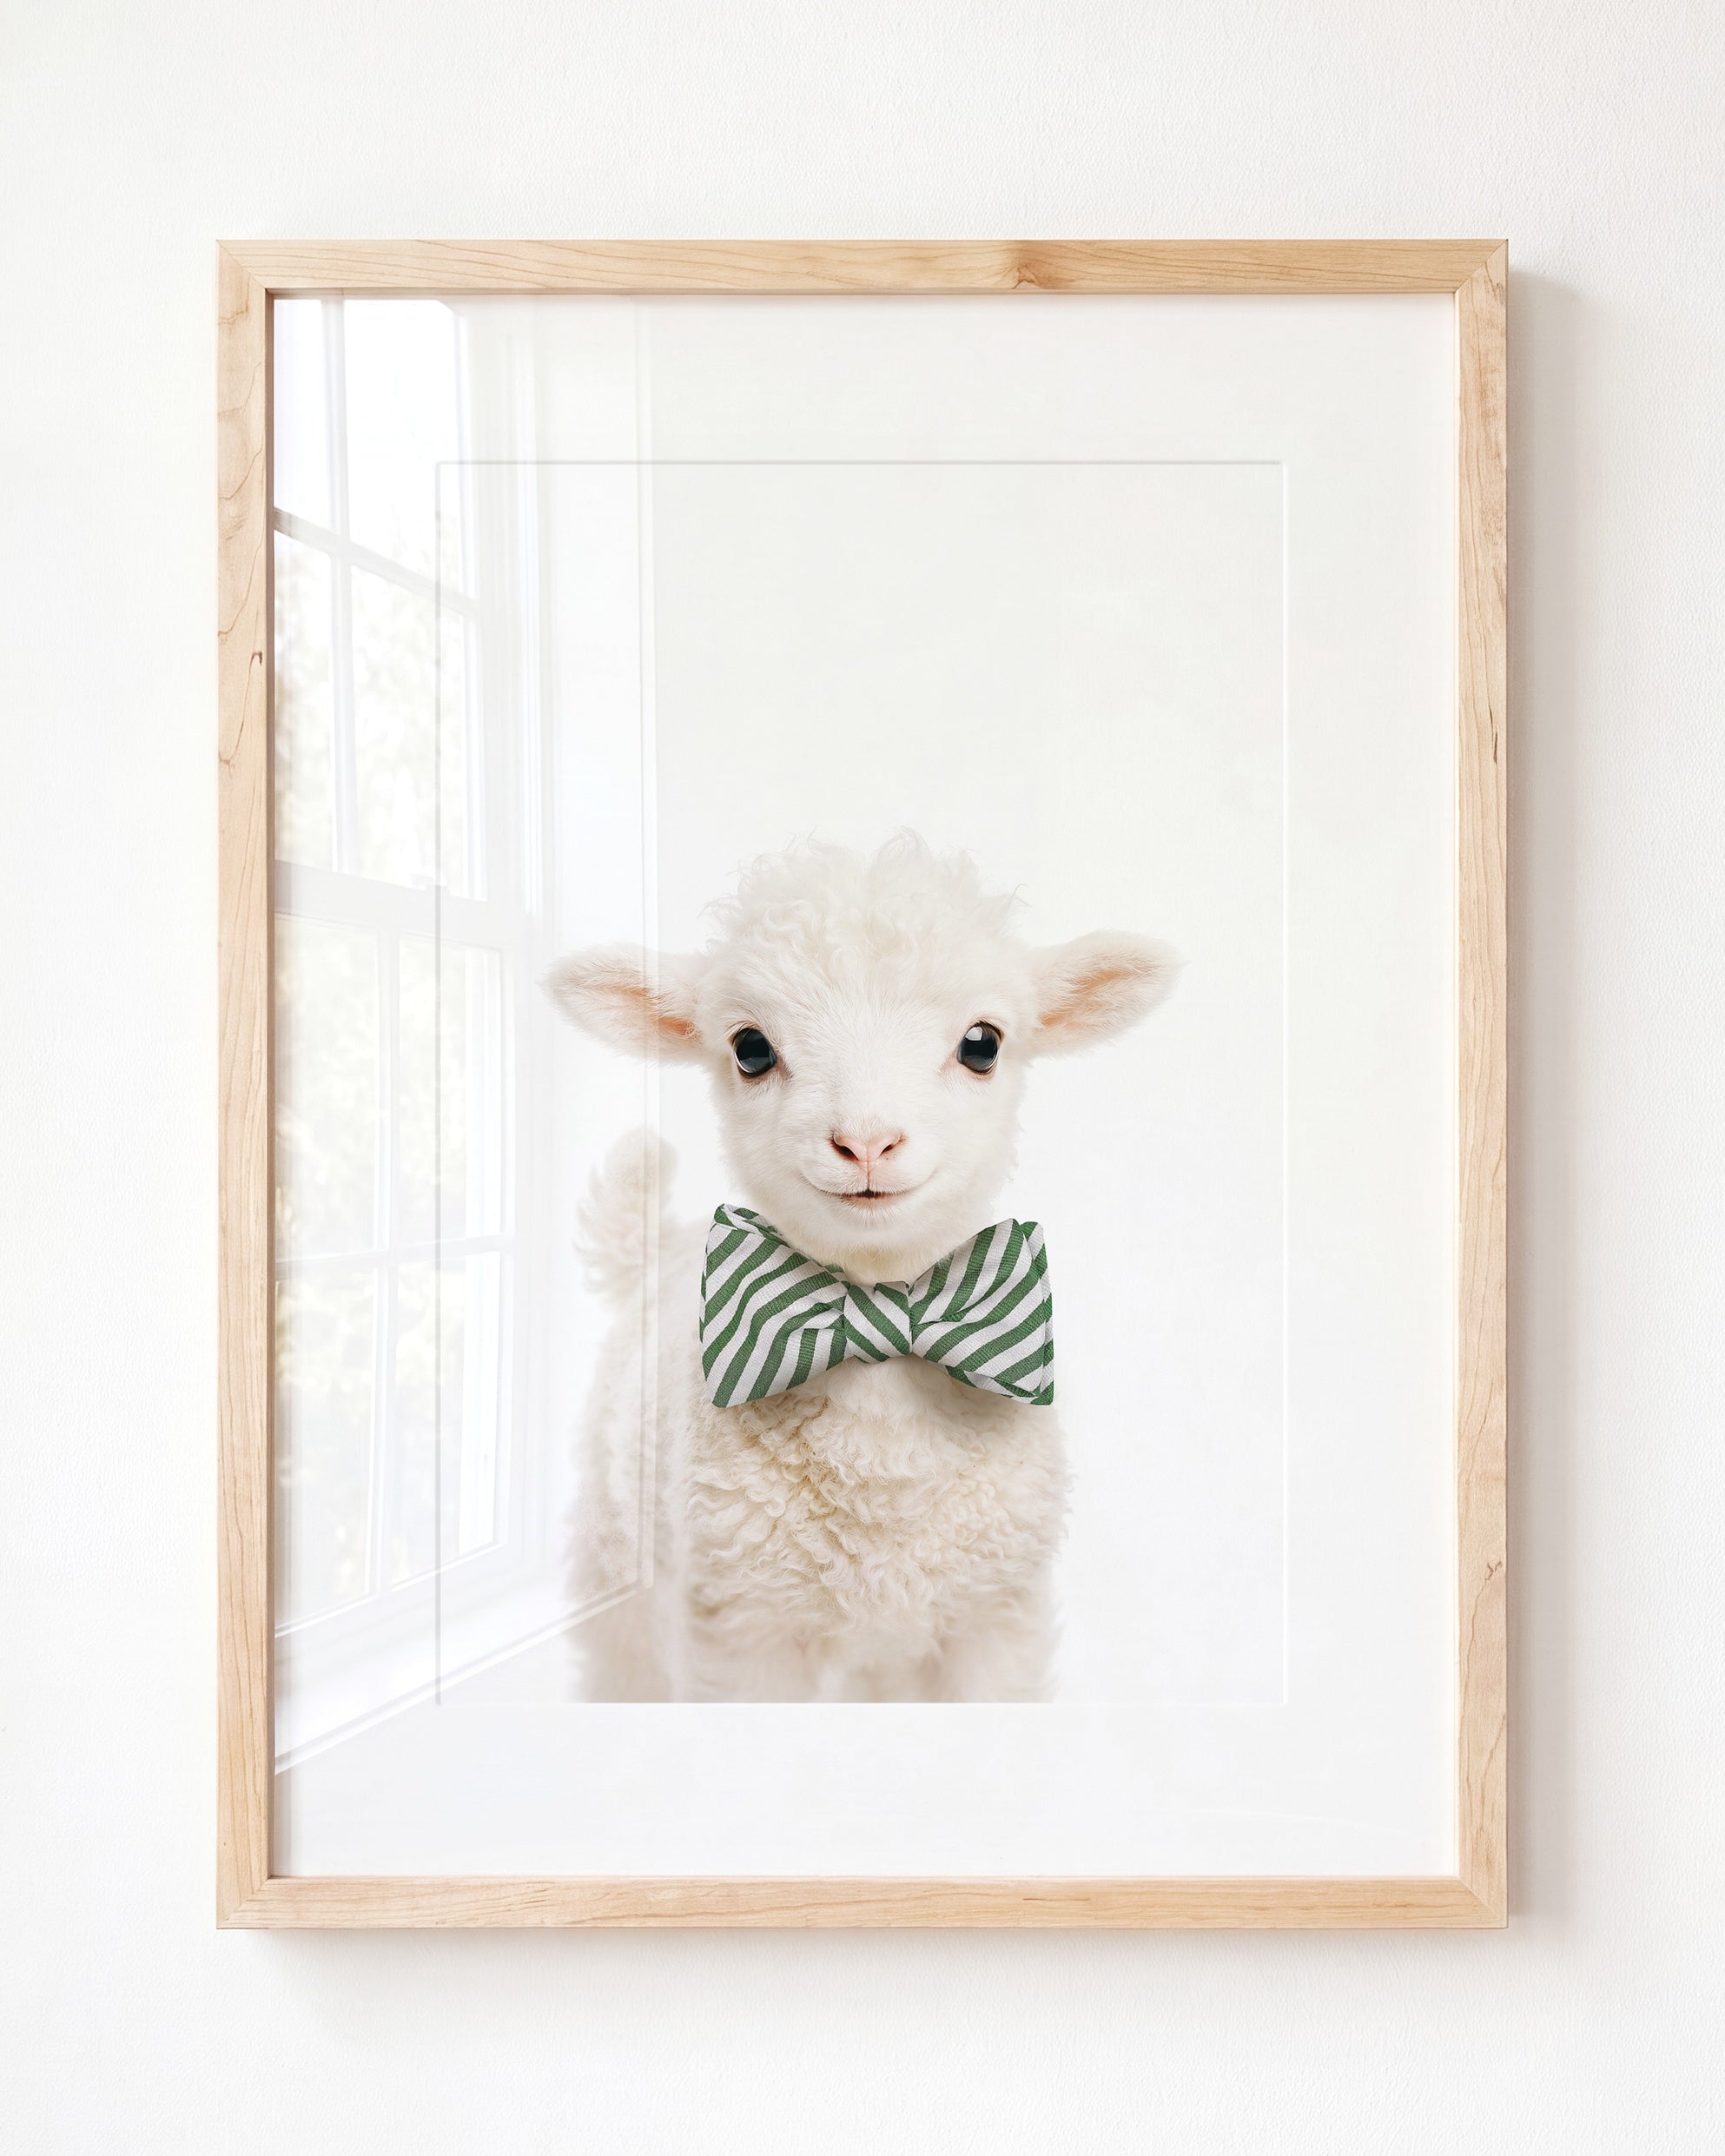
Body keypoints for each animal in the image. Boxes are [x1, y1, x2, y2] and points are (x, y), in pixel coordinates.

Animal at [545, 834, 1174, 1702]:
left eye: (983, 1043)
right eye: (750, 1049)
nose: (867, 1142)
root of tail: (656, 1249)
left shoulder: (994, 1619)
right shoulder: (741, 1629)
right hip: (620, 1572)